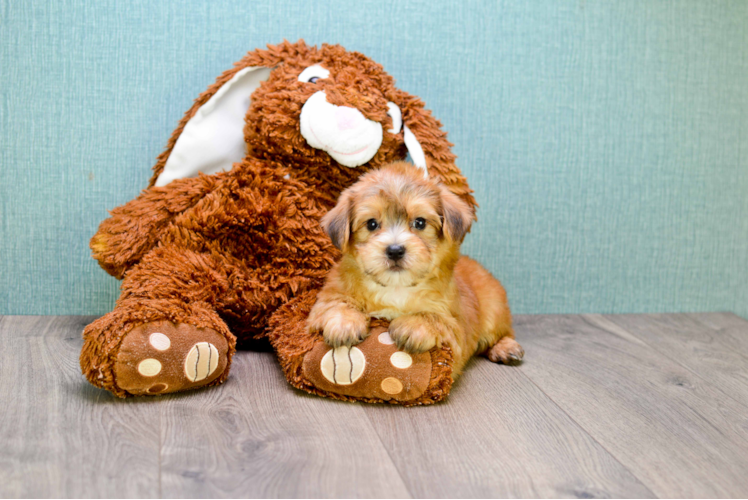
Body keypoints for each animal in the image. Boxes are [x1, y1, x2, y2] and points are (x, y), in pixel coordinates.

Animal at [306, 161, 524, 376]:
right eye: (371, 224)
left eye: (419, 222)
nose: (395, 250)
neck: (396, 288)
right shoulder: (329, 296)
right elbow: (337, 303)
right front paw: (344, 323)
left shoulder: (456, 329)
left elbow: (436, 318)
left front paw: (414, 325)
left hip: (494, 309)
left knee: (501, 333)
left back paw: (506, 347)